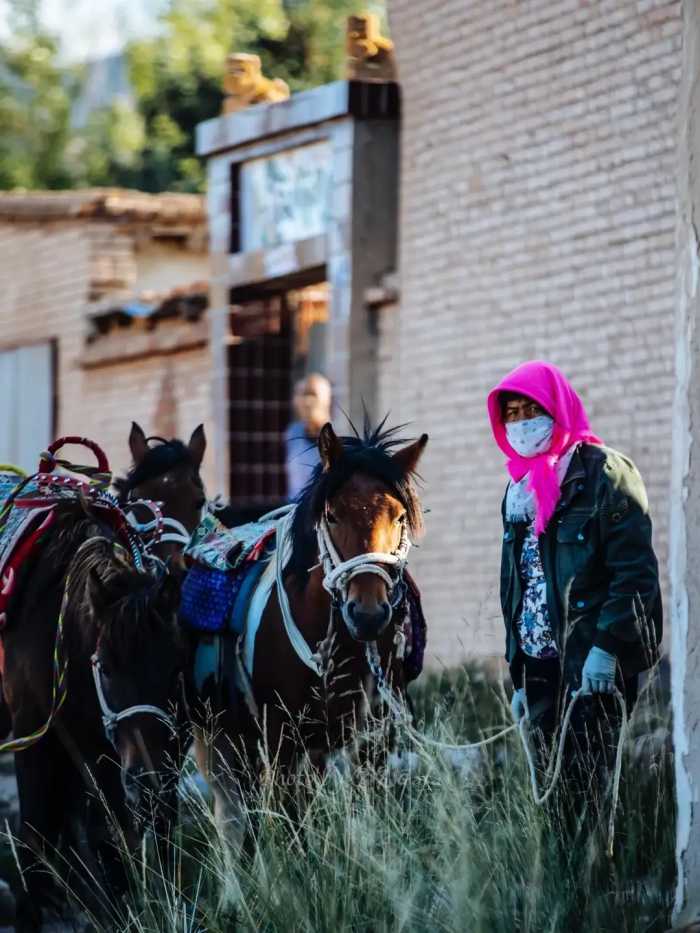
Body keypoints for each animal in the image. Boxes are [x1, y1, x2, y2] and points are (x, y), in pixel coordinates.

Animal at [194, 422, 430, 860]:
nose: (367, 613)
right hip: (222, 736)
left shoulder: (373, 740)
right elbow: (289, 828)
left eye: (399, 516)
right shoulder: (280, 741)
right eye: (333, 515)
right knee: (232, 813)